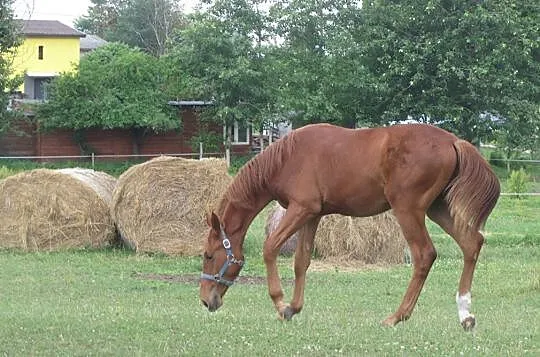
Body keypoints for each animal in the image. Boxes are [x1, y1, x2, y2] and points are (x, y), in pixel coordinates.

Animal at [200, 122, 500, 328]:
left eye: (209, 255)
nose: (205, 300)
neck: (288, 157)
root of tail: (453, 140)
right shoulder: (312, 215)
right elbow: (301, 260)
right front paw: (294, 307)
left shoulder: (301, 209)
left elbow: (270, 247)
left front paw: (280, 303)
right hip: (439, 209)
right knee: (472, 243)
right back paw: (465, 314)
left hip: (409, 210)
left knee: (425, 255)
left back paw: (397, 316)